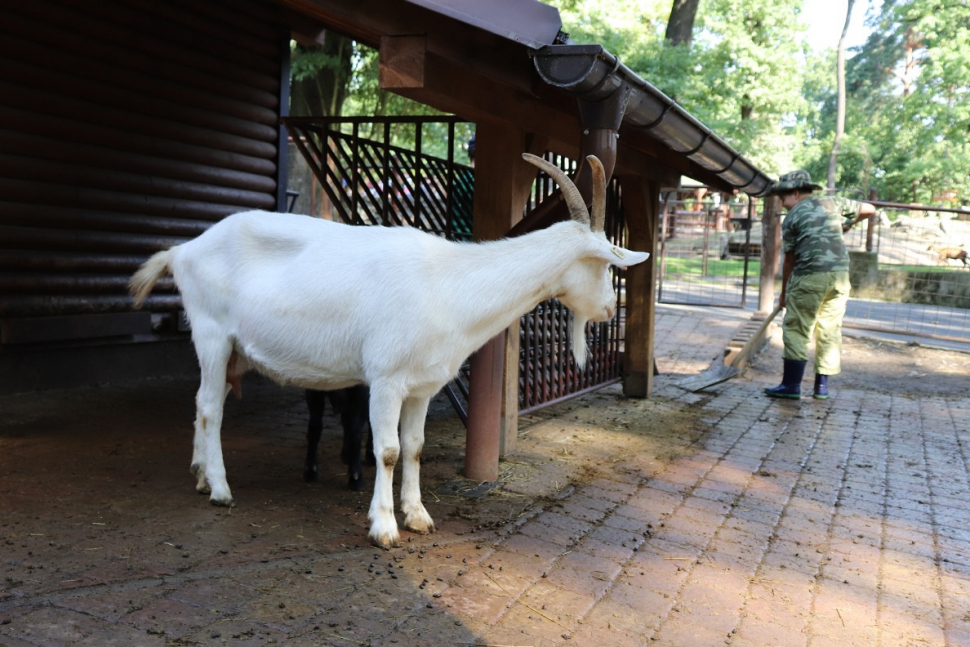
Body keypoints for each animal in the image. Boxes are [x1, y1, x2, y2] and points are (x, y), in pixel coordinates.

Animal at [126, 154, 644, 548]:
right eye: (605, 266)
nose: (606, 309)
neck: (450, 283)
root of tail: (183, 250)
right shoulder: (386, 379)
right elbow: (389, 450)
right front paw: (384, 527)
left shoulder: (422, 386)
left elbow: (415, 448)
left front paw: (417, 515)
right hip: (212, 332)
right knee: (211, 407)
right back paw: (219, 488)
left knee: (200, 404)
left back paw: (199, 476)